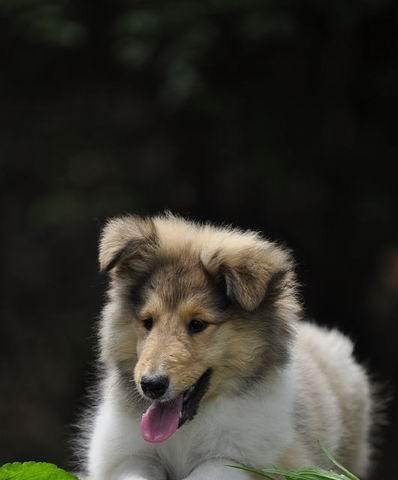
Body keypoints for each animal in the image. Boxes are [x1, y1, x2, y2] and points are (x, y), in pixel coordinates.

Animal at [81, 215, 374, 480]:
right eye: (148, 322)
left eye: (197, 324)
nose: (151, 385)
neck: (187, 431)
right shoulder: (126, 456)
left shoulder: (249, 460)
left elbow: (208, 470)